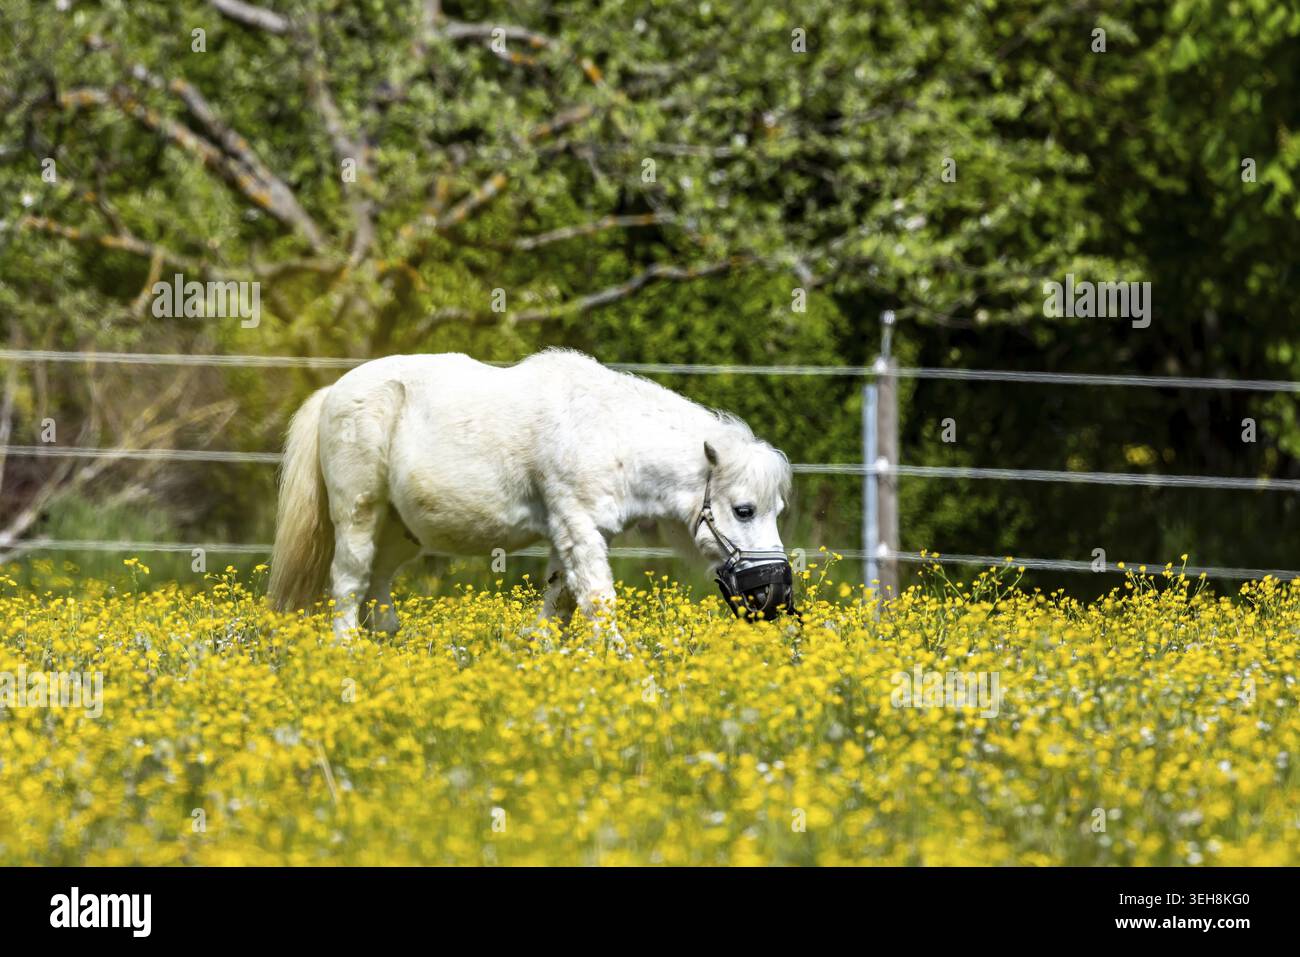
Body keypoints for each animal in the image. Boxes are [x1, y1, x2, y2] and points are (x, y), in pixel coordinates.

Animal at [266, 348, 795, 640]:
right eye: (743, 510)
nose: (774, 593)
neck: (606, 430)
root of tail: (333, 391)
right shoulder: (576, 526)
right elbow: (598, 603)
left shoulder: (571, 535)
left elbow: (558, 605)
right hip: (359, 516)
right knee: (349, 584)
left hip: (400, 534)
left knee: (377, 592)